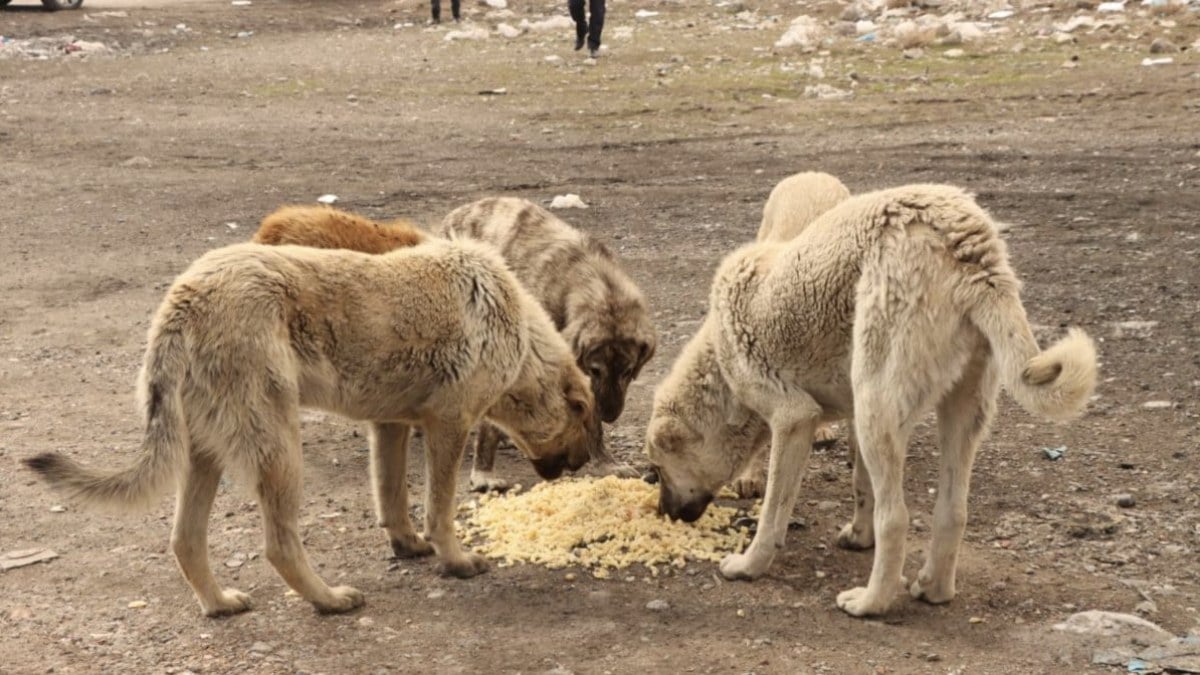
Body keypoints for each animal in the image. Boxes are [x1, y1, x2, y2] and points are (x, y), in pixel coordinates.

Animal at [28, 236, 604, 614]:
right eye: (583, 423)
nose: (580, 467)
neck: (519, 335)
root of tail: (182, 303)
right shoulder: (449, 427)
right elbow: (440, 508)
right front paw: (455, 560)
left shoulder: (389, 427)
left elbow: (392, 496)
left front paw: (408, 545)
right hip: (279, 450)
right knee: (279, 544)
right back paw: (328, 600)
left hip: (207, 453)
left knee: (185, 540)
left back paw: (219, 603)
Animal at [436, 194, 657, 487]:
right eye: (595, 370)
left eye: (628, 371)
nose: (610, 415)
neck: (594, 282)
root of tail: (457, 213)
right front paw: (484, 472)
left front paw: (604, 462)